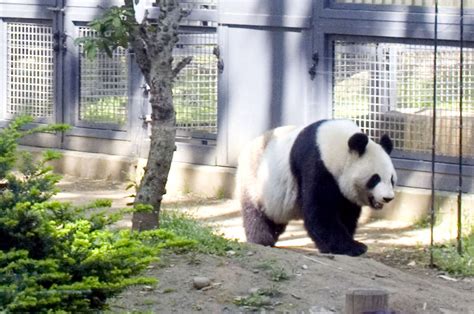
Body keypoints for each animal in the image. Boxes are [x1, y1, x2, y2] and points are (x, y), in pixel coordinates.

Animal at [237, 119, 396, 256]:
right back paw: (262, 240)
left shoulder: (343, 190)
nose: (388, 198)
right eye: (375, 178)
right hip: (255, 180)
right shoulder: (316, 164)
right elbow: (320, 212)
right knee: (256, 214)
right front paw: (354, 247)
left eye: (391, 179)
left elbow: (346, 213)